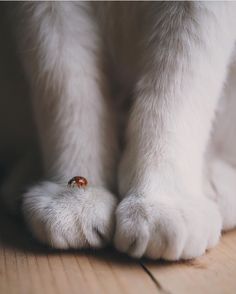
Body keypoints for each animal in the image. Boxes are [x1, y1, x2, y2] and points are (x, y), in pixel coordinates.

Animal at [0, 1, 236, 260]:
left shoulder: (200, 12)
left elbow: (174, 93)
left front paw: (164, 199)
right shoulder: (46, 11)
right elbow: (68, 96)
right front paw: (71, 199)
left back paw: (213, 184)